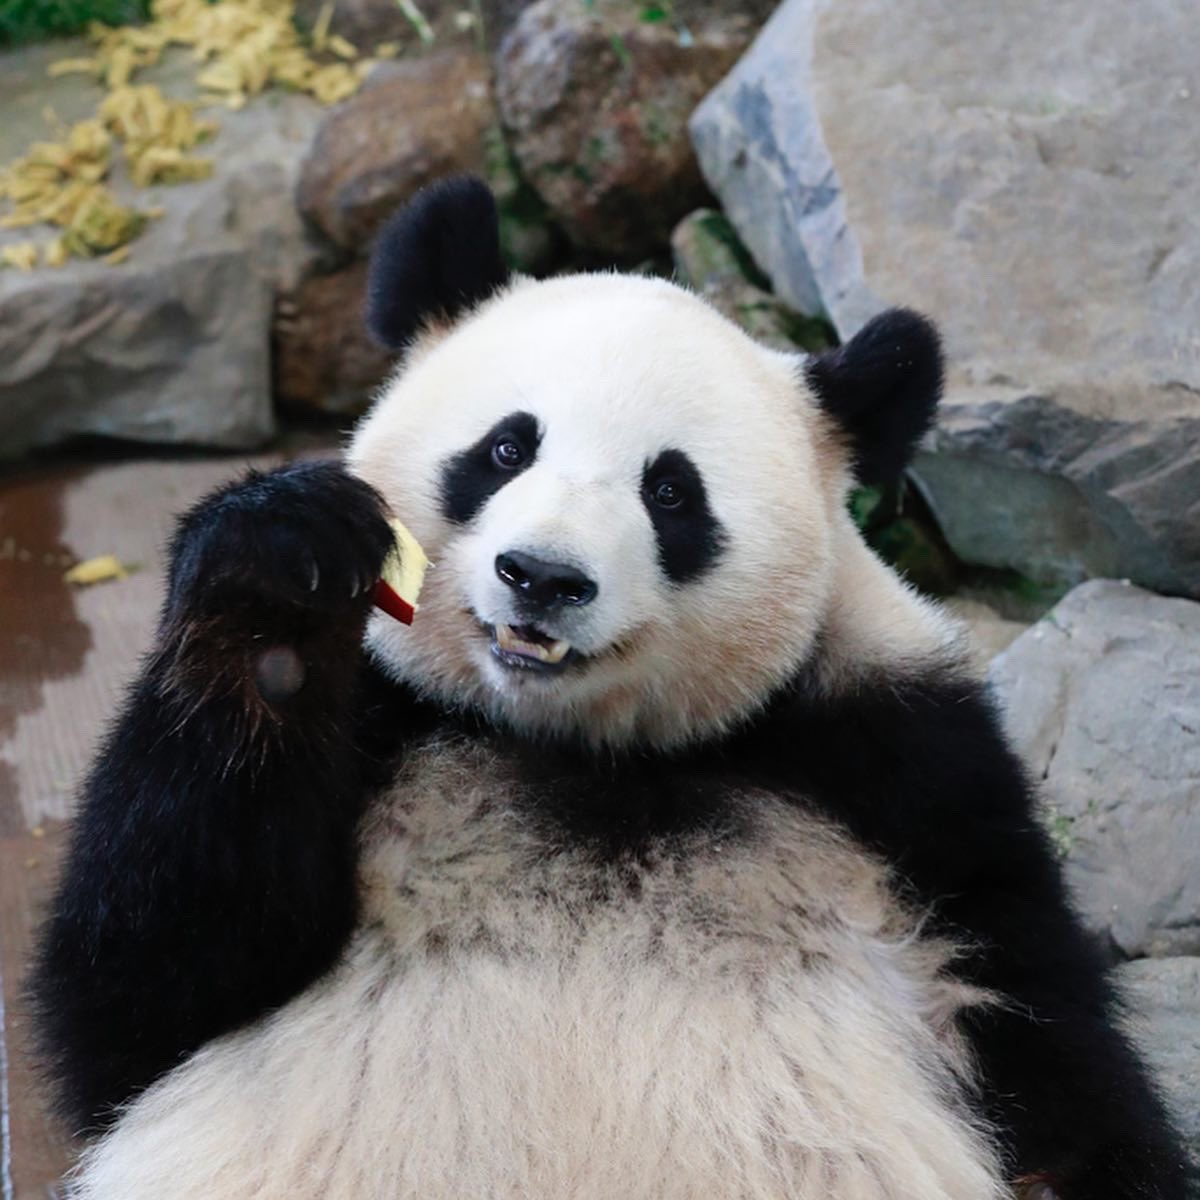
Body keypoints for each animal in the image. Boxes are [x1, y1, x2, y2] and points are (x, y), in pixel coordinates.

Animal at [31, 176, 1185, 1200]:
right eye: (506, 447)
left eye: (670, 492)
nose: (543, 577)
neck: (580, 748)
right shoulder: (380, 717)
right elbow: (151, 978)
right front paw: (280, 582)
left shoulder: (901, 763)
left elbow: (1034, 1025)